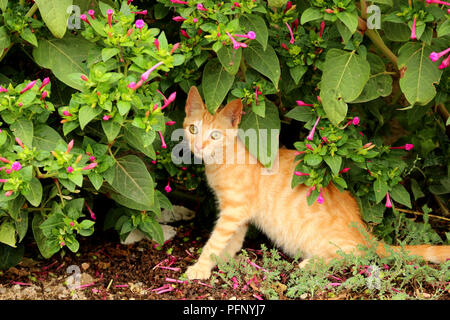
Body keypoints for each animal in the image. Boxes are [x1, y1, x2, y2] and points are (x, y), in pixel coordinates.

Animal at [182, 86, 446, 278]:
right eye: (193, 129)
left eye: (215, 135)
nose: (199, 146)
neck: (221, 162)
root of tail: (364, 232)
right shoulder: (239, 213)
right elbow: (233, 241)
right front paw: (223, 260)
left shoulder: (233, 211)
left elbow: (214, 242)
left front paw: (200, 268)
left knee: (357, 255)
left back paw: (312, 264)